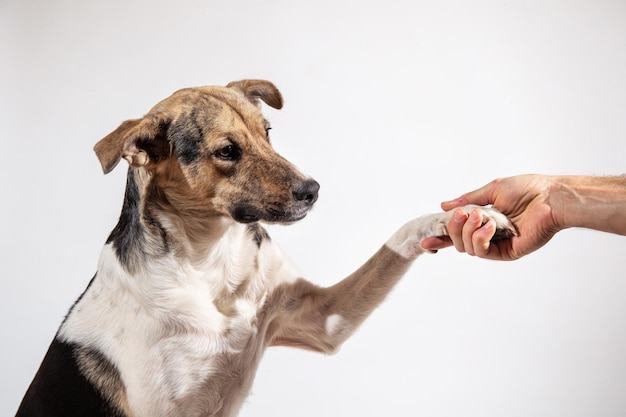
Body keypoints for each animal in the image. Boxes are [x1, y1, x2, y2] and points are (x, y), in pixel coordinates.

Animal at [14, 79, 516, 414]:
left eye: (267, 131)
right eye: (227, 151)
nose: (313, 190)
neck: (210, 261)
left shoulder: (322, 318)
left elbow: (397, 239)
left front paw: (467, 217)